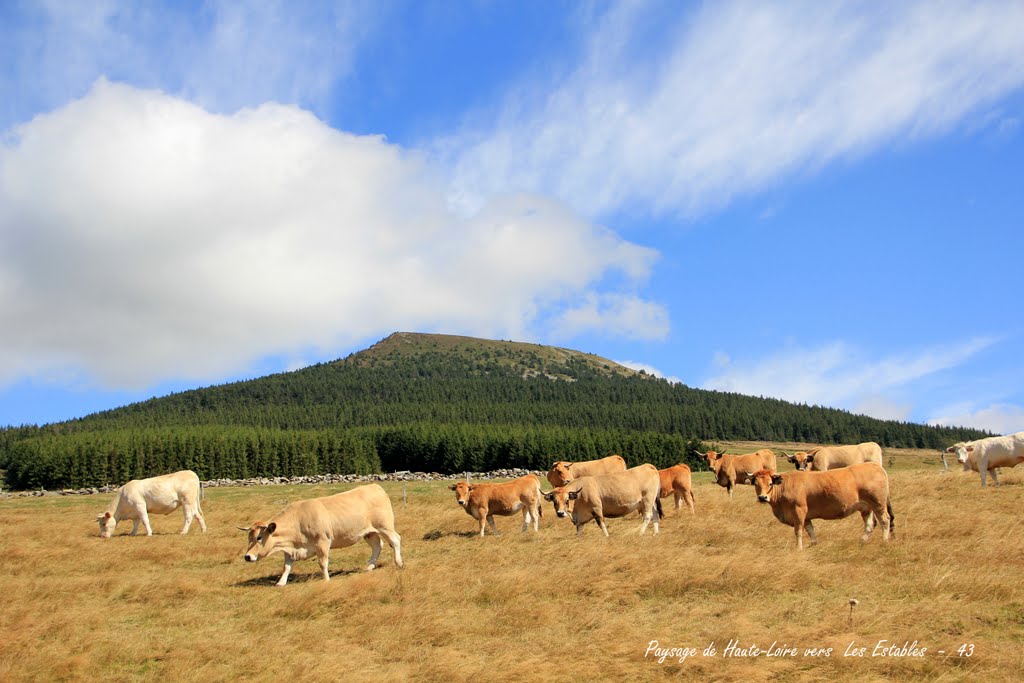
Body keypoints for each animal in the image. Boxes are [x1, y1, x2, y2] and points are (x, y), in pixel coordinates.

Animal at [237, 483, 401, 589]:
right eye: (249, 538)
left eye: (259, 537)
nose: (247, 556)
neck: (298, 521)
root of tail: (375, 486)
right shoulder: (290, 549)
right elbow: (286, 567)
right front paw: (281, 583)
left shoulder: (323, 542)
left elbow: (323, 563)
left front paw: (327, 580)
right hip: (369, 532)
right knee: (377, 546)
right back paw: (370, 567)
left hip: (384, 526)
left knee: (395, 540)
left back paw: (399, 563)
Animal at [745, 462, 897, 552]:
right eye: (756, 484)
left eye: (770, 483)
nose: (762, 497)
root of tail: (875, 465)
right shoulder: (806, 517)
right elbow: (810, 530)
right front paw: (813, 544)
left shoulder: (799, 511)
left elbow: (798, 531)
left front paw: (798, 548)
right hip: (866, 508)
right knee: (870, 524)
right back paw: (862, 541)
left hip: (878, 504)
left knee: (885, 520)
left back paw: (884, 541)